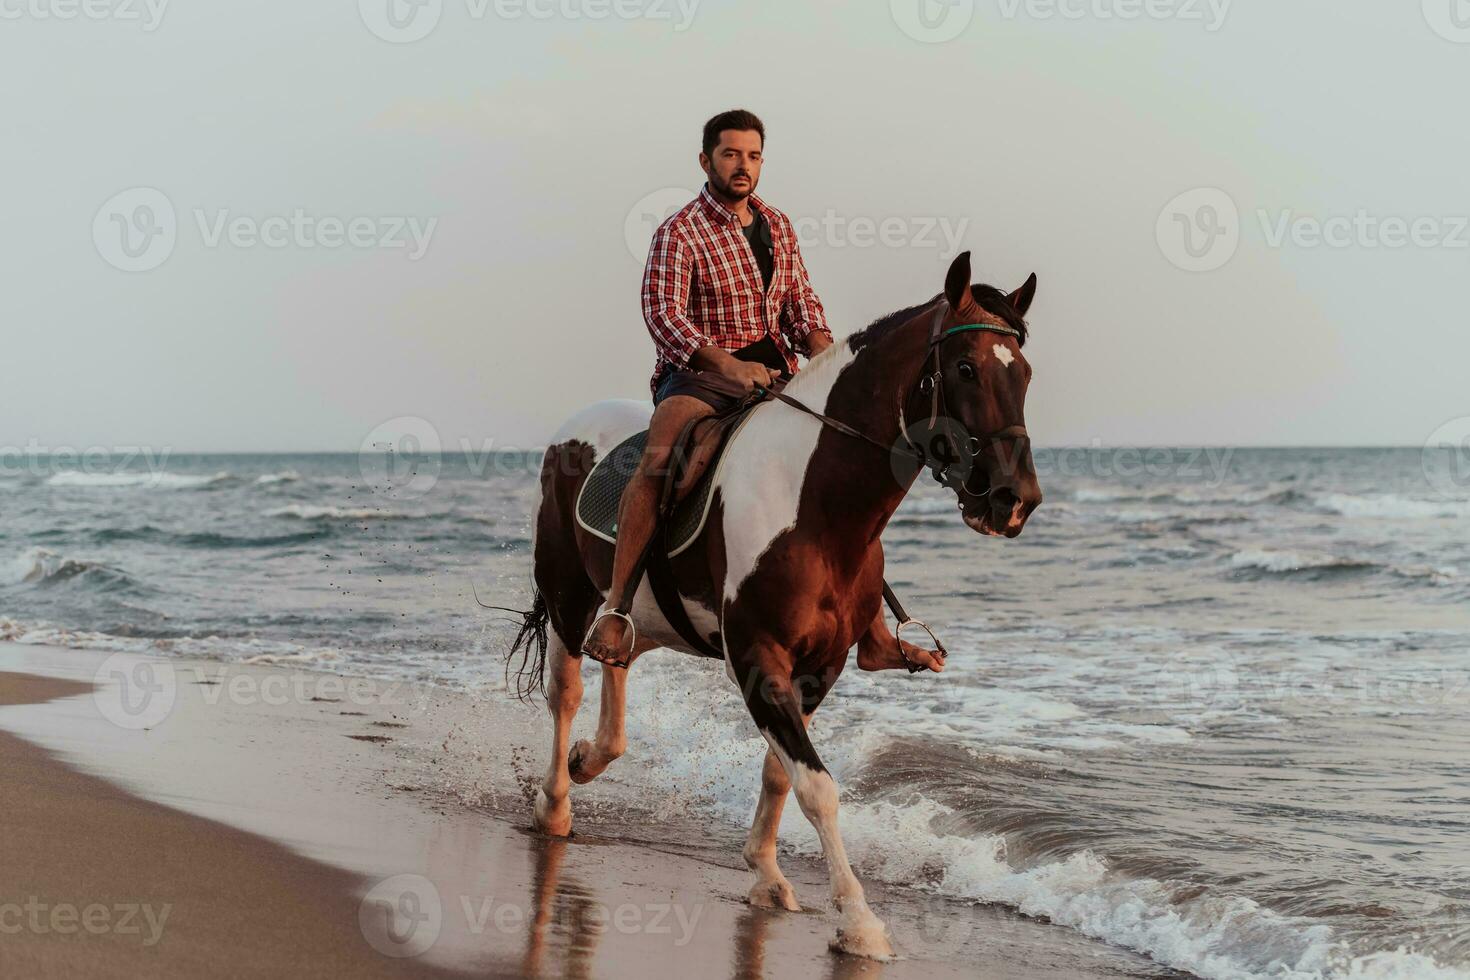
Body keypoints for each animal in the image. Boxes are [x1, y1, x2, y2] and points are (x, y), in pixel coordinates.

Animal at [511, 251, 1040, 957]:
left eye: (1025, 373)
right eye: (964, 368)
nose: (1015, 500)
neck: (814, 502)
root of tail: (572, 432)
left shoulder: (820, 667)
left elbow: (780, 774)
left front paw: (764, 873)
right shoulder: (760, 659)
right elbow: (818, 787)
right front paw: (859, 920)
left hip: (638, 613)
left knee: (617, 656)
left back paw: (591, 756)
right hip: (568, 597)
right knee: (565, 690)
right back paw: (556, 803)